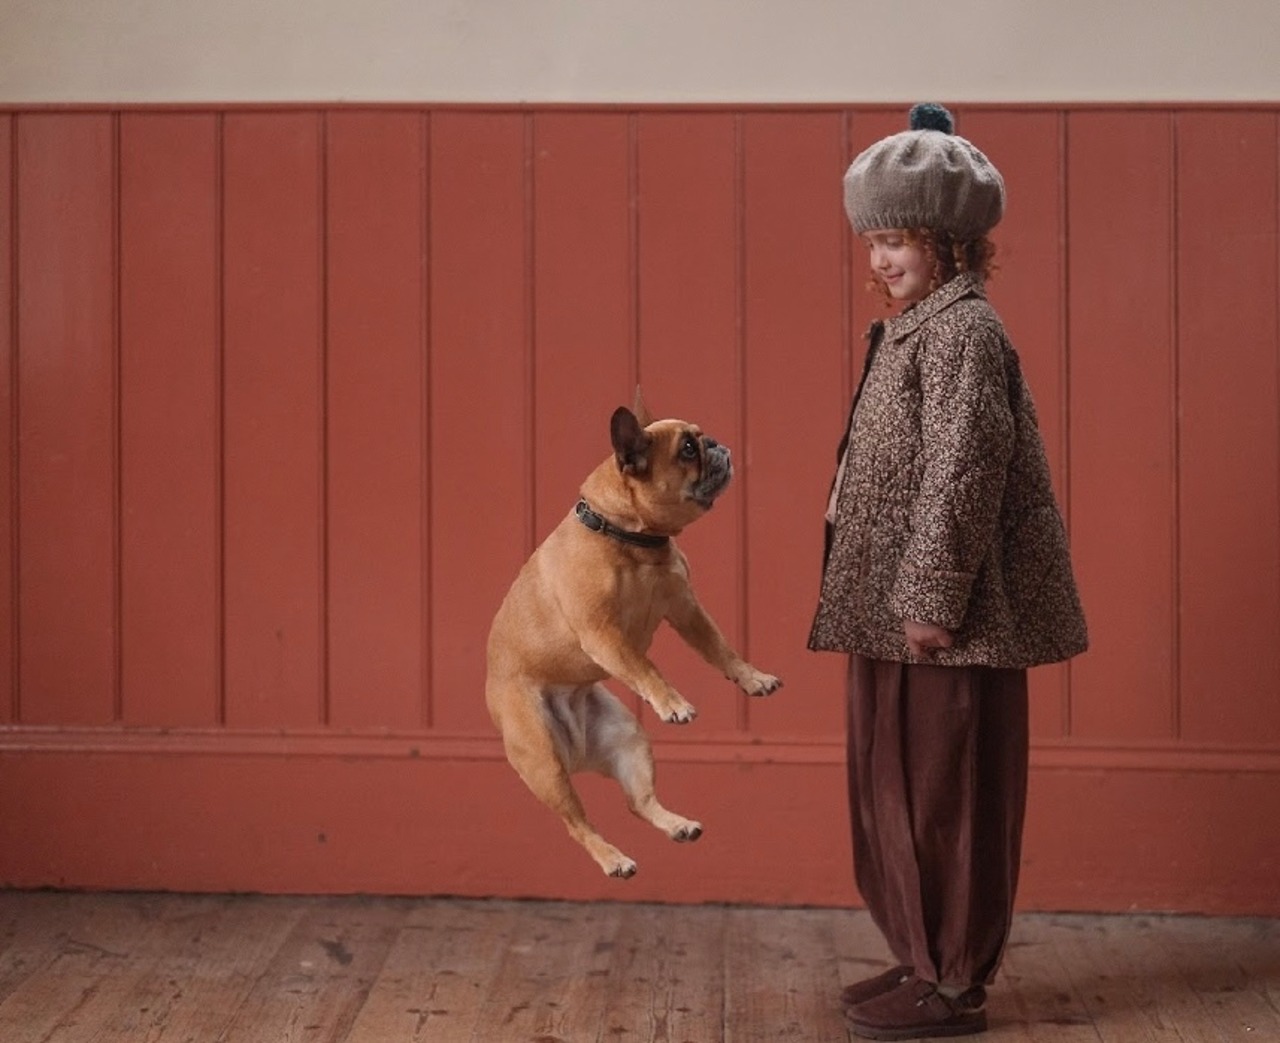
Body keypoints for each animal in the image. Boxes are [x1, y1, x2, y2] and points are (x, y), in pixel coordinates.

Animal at [485, 396, 782, 878]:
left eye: (701, 438)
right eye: (687, 449)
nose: (716, 443)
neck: (632, 538)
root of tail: (577, 750)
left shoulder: (686, 608)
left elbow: (721, 648)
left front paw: (752, 678)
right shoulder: (603, 633)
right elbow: (645, 666)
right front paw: (674, 703)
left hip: (627, 738)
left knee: (638, 802)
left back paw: (678, 825)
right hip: (543, 759)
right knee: (578, 823)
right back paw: (614, 859)